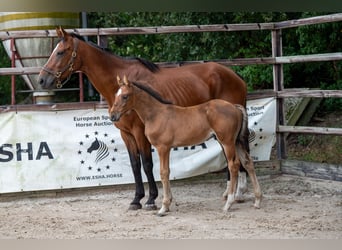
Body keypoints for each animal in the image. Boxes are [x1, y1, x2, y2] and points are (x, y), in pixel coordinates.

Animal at [111, 75, 260, 216]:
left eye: (125, 96)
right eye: (115, 95)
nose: (113, 116)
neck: (156, 114)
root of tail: (234, 107)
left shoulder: (163, 147)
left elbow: (163, 173)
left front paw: (163, 207)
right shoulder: (166, 148)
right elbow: (167, 171)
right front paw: (168, 204)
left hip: (227, 142)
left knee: (233, 165)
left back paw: (229, 203)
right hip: (237, 142)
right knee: (248, 162)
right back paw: (257, 200)